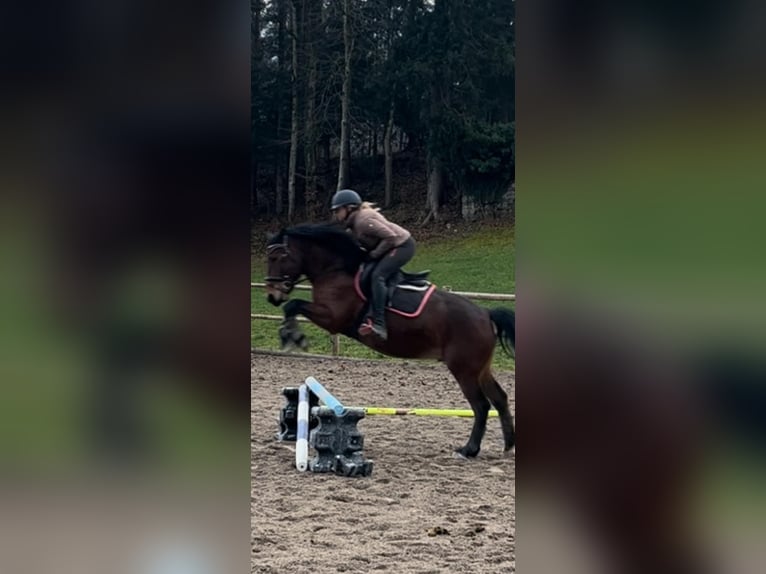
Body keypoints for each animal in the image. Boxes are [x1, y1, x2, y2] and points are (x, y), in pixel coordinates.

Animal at [264, 224, 516, 460]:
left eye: (277, 258)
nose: (272, 297)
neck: (335, 270)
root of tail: (485, 313)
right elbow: (292, 306)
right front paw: (291, 334)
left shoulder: (333, 318)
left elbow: (293, 305)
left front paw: (293, 336)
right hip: (480, 369)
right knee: (500, 399)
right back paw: (508, 446)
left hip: (464, 370)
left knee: (482, 406)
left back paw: (469, 450)